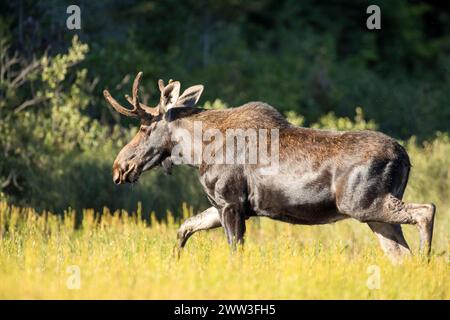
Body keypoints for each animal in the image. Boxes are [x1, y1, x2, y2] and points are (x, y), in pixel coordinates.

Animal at [103, 72, 434, 260]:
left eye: (144, 128)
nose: (119, 167)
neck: (198, 152)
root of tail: (405, 157)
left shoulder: (231, 202)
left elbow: (235, 253)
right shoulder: (223, 204)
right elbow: (185, 227)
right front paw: (174, 262)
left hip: (362, 204)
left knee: (426, 210)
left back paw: (427, 260)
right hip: (374, 216)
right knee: (399, 254)